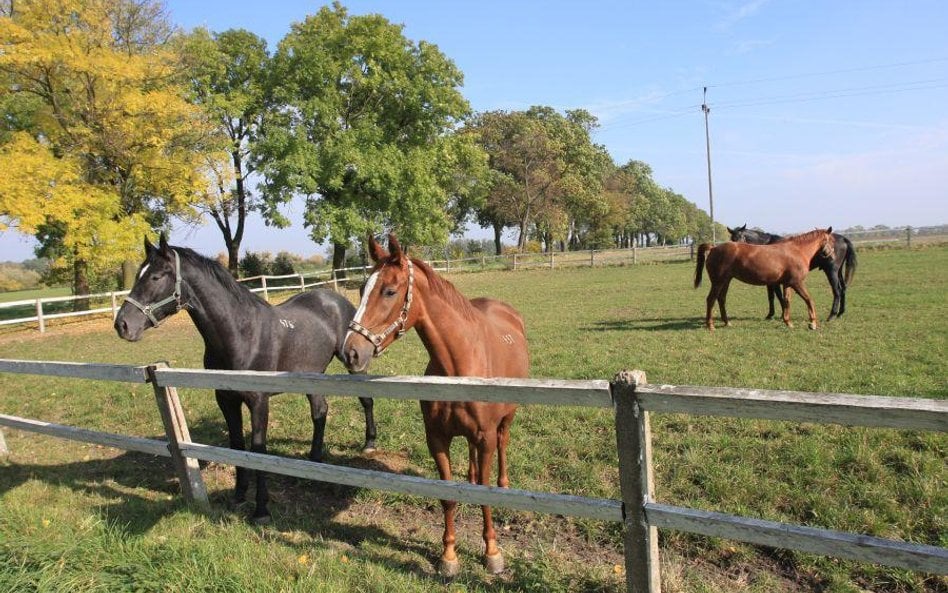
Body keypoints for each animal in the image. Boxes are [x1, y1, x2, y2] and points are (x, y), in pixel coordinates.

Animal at [113, 234, 376, 520]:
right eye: (139, 273)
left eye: (156, 276)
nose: (122, 325)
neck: (241, 333)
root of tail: (335, 299)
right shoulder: (226, 399)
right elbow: (237, 445)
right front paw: (238, 496)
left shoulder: (259, 400)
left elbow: (258, 448)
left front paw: (261, 509)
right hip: (312, 375)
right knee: (320, 411)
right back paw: (313, 462)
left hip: (353, 363)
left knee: (365, 401)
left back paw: (369, 443)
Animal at [342, 234, 532, 576]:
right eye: (362, 289)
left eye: (389, 291)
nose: (351, 352)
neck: (460, 363)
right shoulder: (437, 439)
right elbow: (448, 498)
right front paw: (449, 556)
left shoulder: (484, 437)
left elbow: (484, 495)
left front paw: (492, 552)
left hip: (506, 418)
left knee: (503, 445)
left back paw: (504, 485)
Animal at [692, 225, 832, 328]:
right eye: (830, 239)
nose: (829, 253)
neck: (797, 251)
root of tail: (714, 248)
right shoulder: (797, 283)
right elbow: (809, 300)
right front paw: (812, 323)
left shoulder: (787, 284)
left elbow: (786, 301)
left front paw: (788, 322)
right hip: (718, 282)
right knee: (711, 299)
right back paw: (710, 325)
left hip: (726, 281)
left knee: (721, 299)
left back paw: (727, 322)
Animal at [724, 223, 860, 320]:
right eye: (732, 238)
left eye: (741, 237)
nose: (734, 250)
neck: (765, 246)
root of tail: (843, 238)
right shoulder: (770, 281)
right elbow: (771, 297)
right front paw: (771, 315)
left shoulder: (775, 281)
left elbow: (778, 296)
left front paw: (779, 314)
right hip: (838, 271)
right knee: (843, 288)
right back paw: (840, 313)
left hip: (831, 271)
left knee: (837, 290)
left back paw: (832, 315)